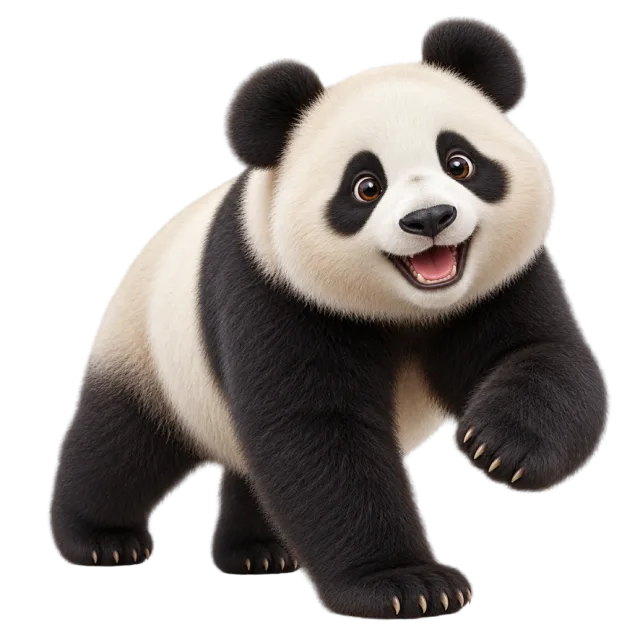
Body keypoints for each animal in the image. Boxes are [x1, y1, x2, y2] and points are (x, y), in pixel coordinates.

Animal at [50, 17, 609, 620]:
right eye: (366, 186)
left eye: (459, 162)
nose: (430, 219)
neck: (410, 308)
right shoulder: (274, 291)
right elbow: (320, 435)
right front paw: (405, 584)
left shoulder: (499, 284)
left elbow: (543, 353)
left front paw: (500, 447)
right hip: (150, 350)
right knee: (120, 445)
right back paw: (102, 541)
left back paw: (259, 552)